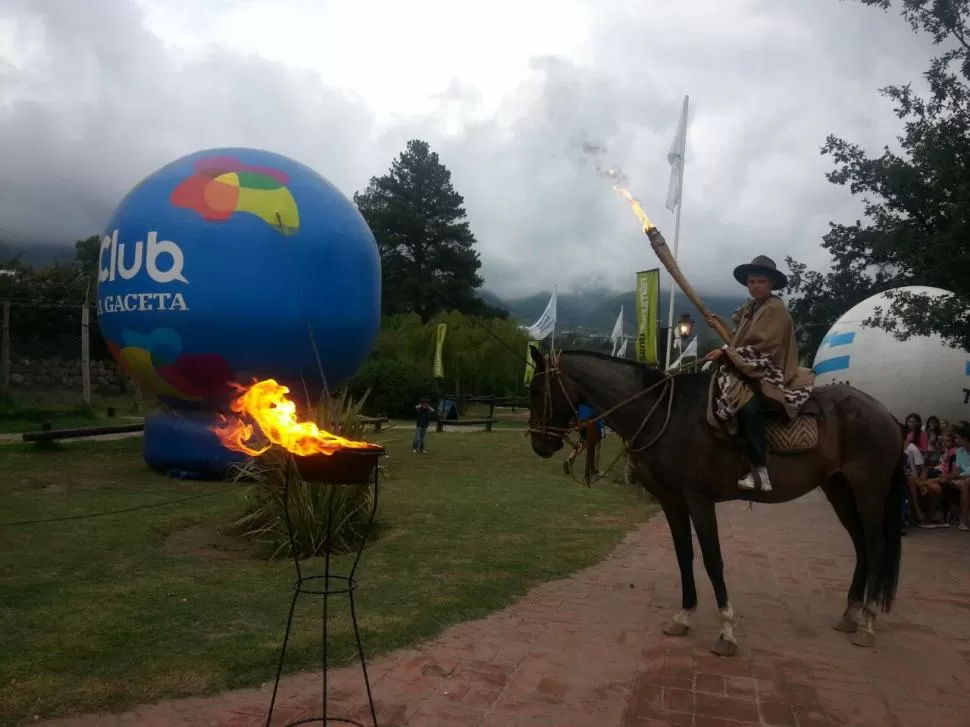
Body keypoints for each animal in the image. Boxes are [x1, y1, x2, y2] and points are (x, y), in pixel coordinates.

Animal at [524, 350, 904, 656]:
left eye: (536, 390)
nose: (539, 445)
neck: (665, 413)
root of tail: (886, 412)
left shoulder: (699, 499)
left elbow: (712, 560)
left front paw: (726, 632)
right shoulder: (671, 500)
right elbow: (684, 555)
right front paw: (683, 616)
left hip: (869, 489)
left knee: (876, 544)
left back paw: (867, 623)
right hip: (839, 489)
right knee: (861, 545)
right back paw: (851, 614)